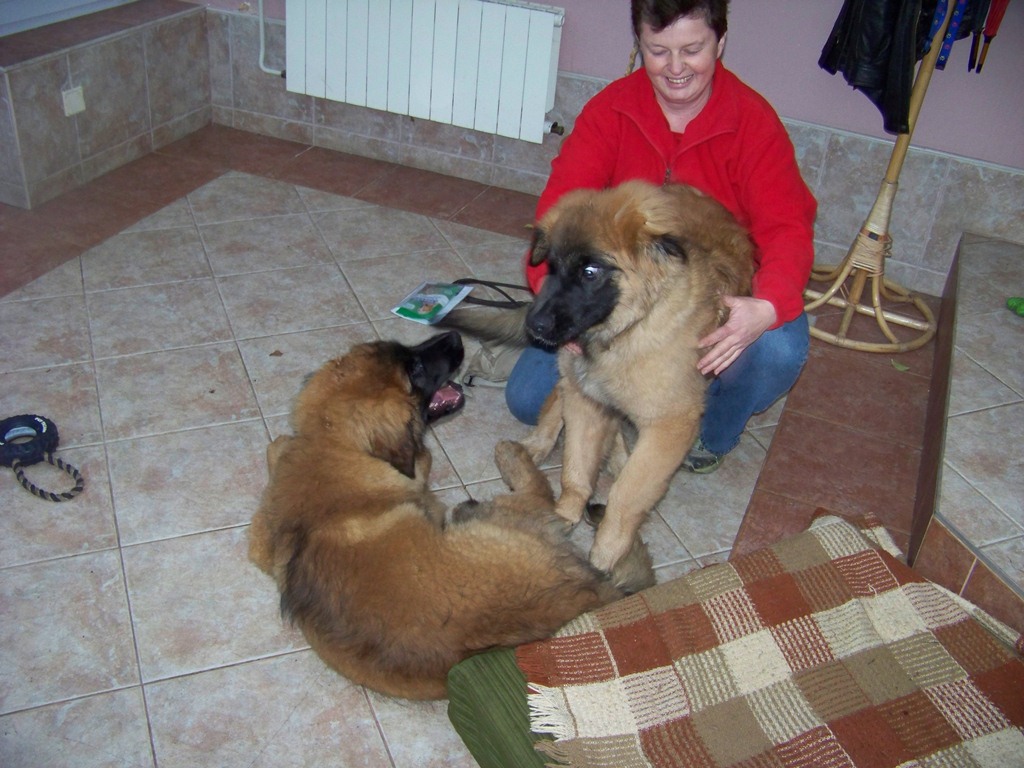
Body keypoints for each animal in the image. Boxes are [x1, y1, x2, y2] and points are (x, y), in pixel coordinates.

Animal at [248, 331, 654, 700]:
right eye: (414, 369)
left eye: (406, 351)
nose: (456, 335)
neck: (334, 447)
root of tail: (592, 596)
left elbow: (278, 449)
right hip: (500, 521)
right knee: (538, 493)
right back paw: (510, 456)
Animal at [441, 181, 754, 572]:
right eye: (552, 267)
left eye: (590, 272)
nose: (534, 325)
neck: (626, 330)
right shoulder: (586, 400)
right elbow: (575, 469)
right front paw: (560, 517)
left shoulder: (669, 424)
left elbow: (628, 492)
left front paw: (607, 553)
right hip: (571, 374)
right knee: (558, 403)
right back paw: (541, 446)